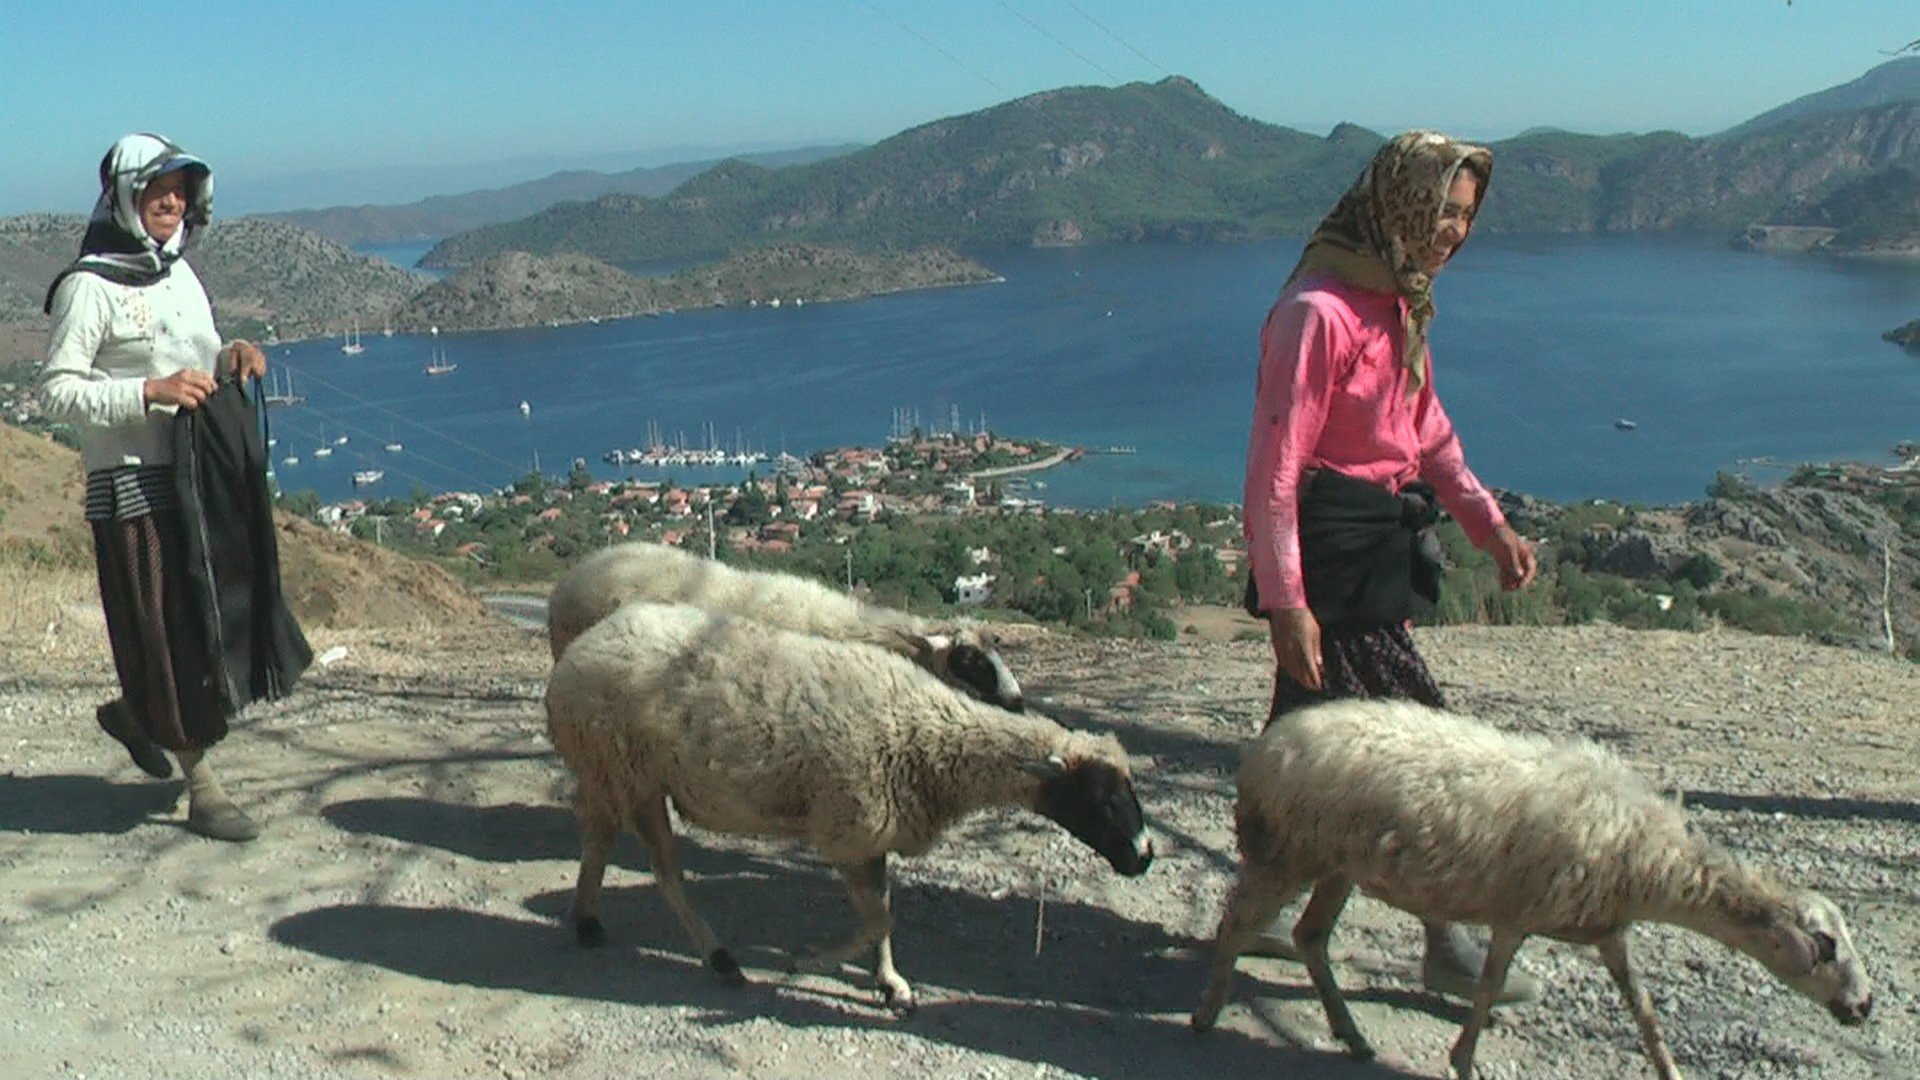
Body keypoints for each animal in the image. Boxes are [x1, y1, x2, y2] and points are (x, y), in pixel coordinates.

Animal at [545, 599, 1152, 1006]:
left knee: (599, 838)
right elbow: (880, 916)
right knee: (664, 873)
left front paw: (891, 983)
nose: (1145, 855)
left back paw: (587, 919)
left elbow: (883, 912)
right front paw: (813, 958)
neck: (929, 730)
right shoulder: (848, 826)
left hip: (615, 774)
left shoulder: (876, 829)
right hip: (626, 771)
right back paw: (718, 958)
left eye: (1132, 789)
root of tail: (583, 646)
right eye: (1101, 796)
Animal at [1190, 699, 1866, 1076]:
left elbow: (1644, 1011)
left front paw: (1671, 1070)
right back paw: (1205, 1013)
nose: (1864, 1008)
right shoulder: (1516, 913)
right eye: (1826, 944)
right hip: (1287, 851)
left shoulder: (1608, 931)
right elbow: (1490, 987)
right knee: (1236, 920)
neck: (1646, 859)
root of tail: (1268, 742)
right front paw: (1464, 1062)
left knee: (1310, 939)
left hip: (1336, 864)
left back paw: (1352, 1037)